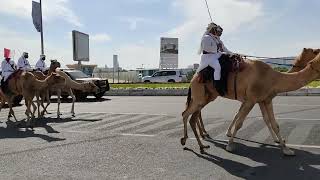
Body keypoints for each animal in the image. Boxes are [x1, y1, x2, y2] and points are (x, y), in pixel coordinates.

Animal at [181, 48, 320, 156]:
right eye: (314, 51)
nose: (317, 49)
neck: (274, 78)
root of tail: (193, 78)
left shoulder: (265, 100)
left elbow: (272, 123)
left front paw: (286, 149)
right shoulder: (251, 100)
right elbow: (239, 122)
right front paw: (230, 145)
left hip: (207, 96)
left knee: (194, 114)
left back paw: (201, 140)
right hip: (199, 94)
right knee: (186, 113)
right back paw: (189, 140)